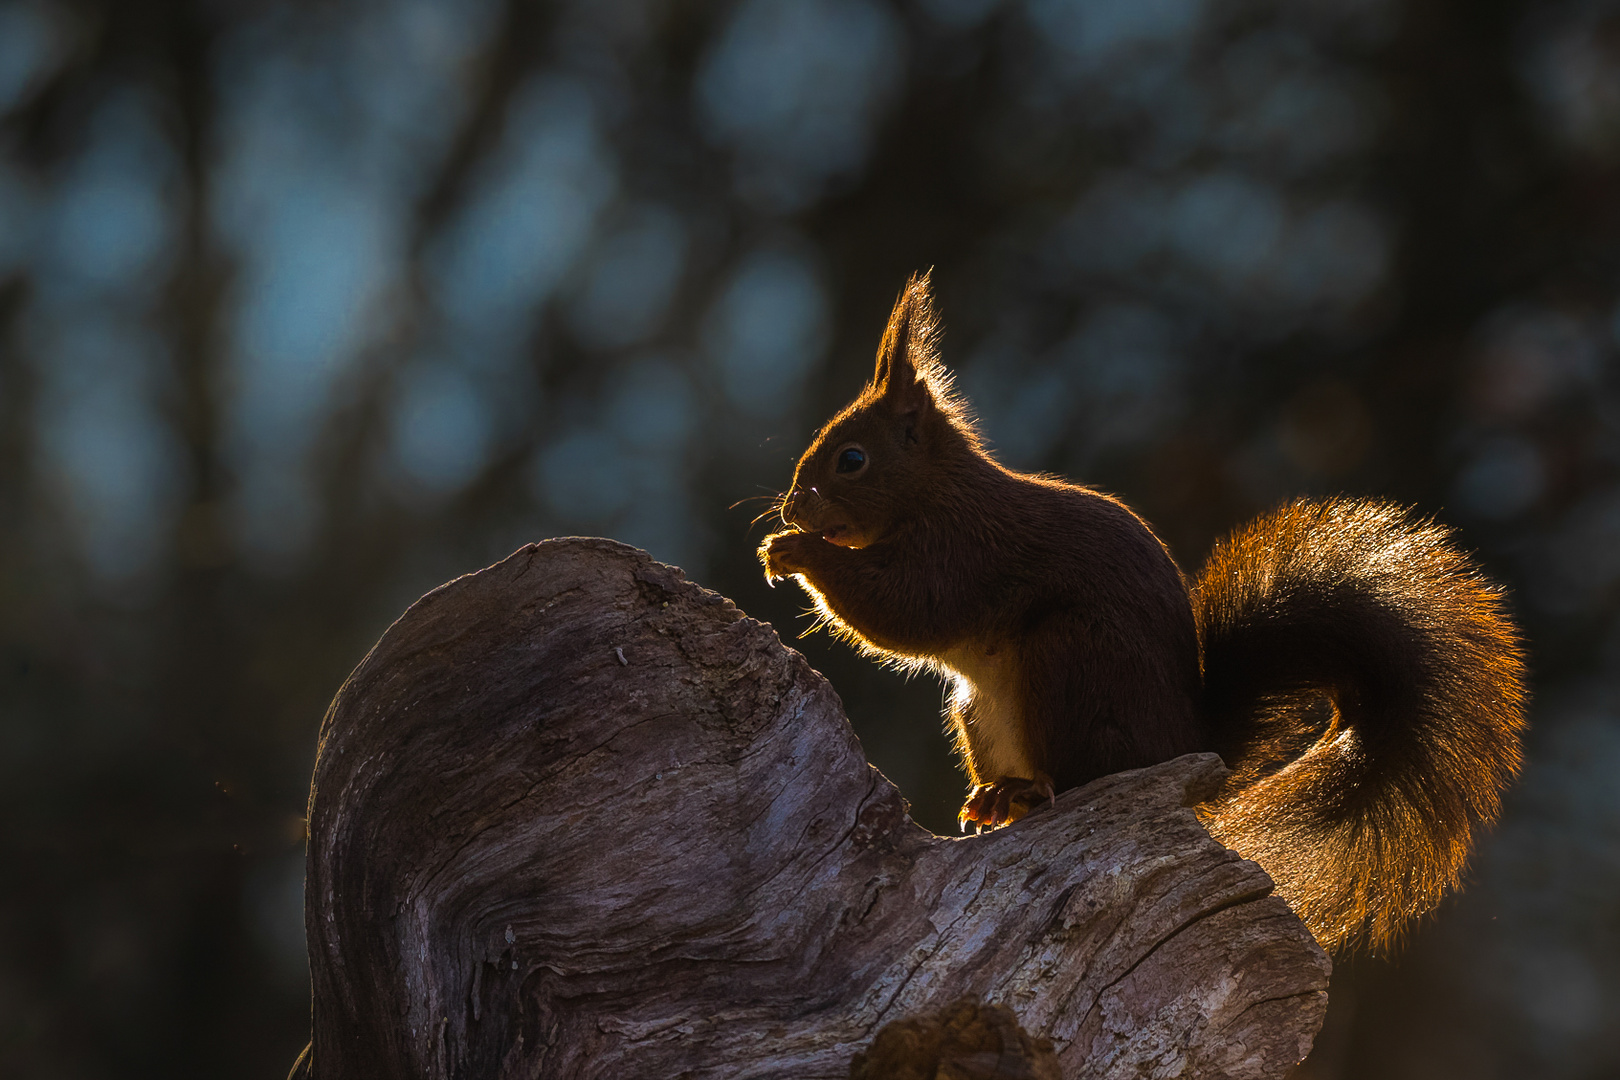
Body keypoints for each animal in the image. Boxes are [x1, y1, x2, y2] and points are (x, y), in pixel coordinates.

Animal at [764, 275, 1522, 952]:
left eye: (852, 459)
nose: (794, 506)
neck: (937, 492)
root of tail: (1184, 741)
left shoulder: (965, 551)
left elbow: (906, 610)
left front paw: (795, 551)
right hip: (977, 709)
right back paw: (995, 797)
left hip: (1067, 663)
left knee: (1085, 775)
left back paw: (1028, 793)